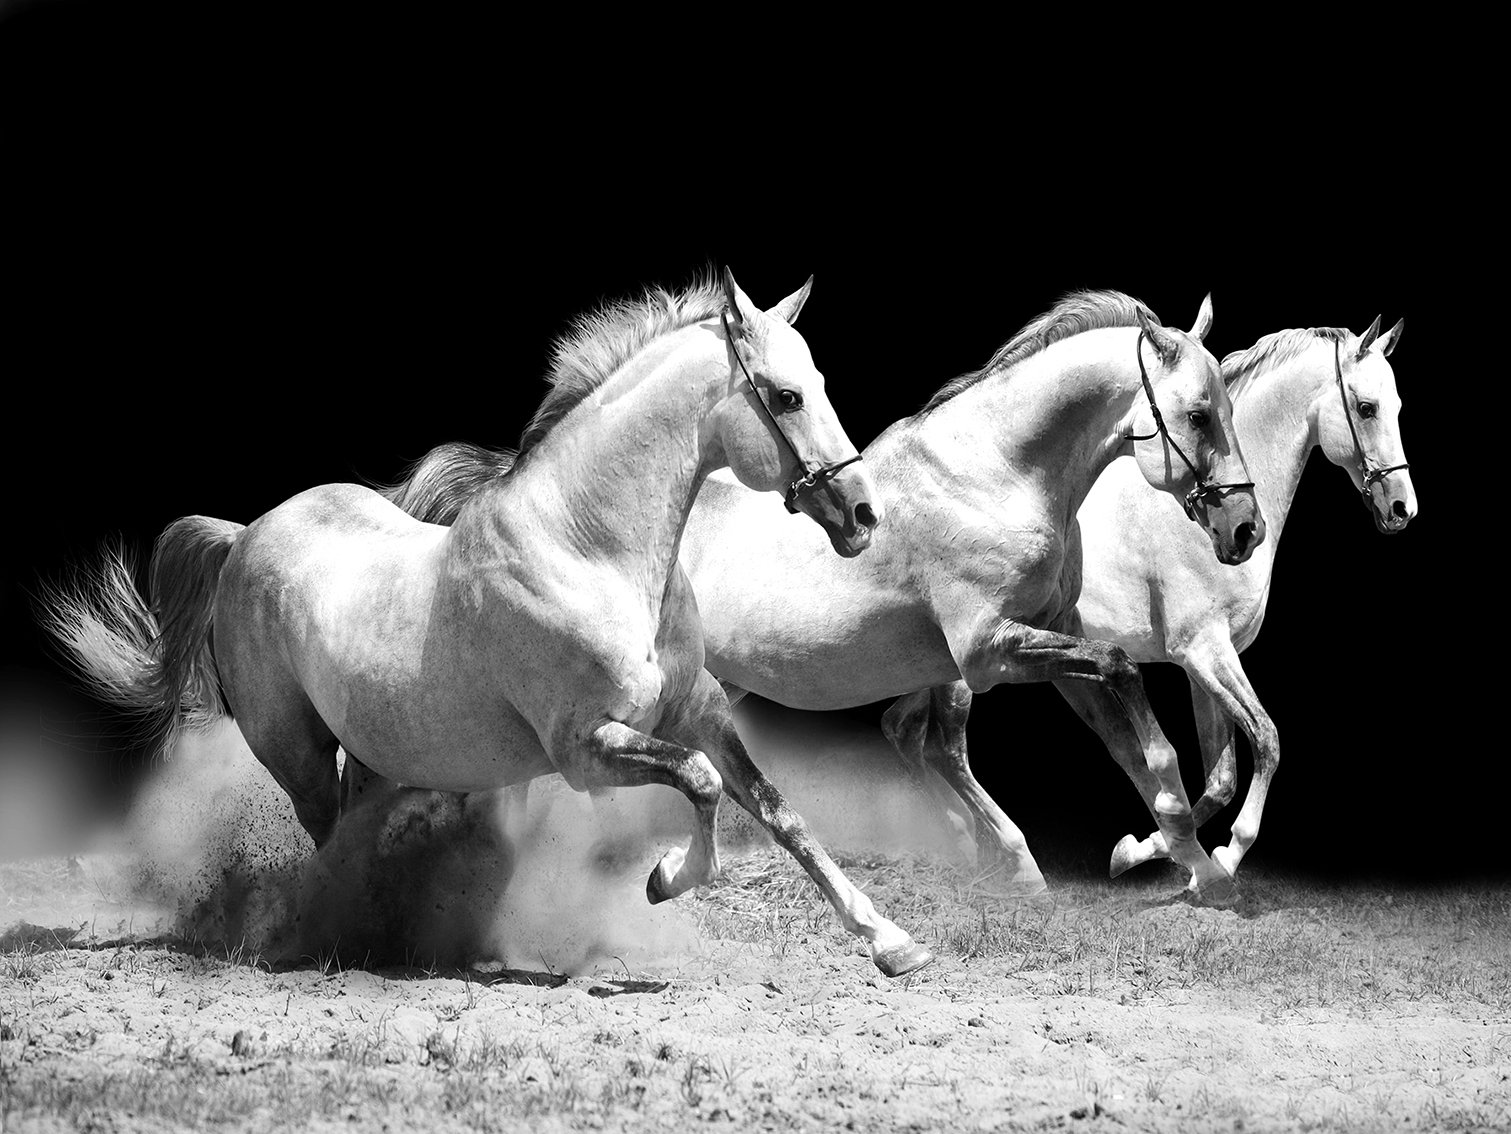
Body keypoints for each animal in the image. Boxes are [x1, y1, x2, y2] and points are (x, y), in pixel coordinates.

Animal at [38, 268, 937, 977]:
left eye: (818, 381)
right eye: (785, 395)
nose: (862, 515)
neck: (588, 549)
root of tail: (244, 535)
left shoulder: (699, 712)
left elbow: (778, 810)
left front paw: (892, 943)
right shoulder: (585, 748)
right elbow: (703, 785)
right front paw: (662, 880)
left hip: (380, 755)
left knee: (352, 835)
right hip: (295, 750)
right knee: (326, 841)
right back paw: (332, 938)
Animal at [385, 290, 1265, 905]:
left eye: (1227, 405)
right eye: (1197, 412)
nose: (1244, 527)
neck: (997, 474)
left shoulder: (1044, 643)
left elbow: (1140, 738)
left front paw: (1185, 858)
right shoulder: (988, 651)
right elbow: (1122, 677)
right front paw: (1178, 849)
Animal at [881, 315, 1414, 892]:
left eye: (1398, 405)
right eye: (1367, 407)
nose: (1402, 508)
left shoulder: (1206, 663)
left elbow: (1221, 778)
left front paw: (1149, 852)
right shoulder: (1204, 651)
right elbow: (1267, 740)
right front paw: (1222, 856)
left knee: (901, 729)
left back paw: (961, 843)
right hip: (967, 670)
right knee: (945, 750)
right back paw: (1008, 855)